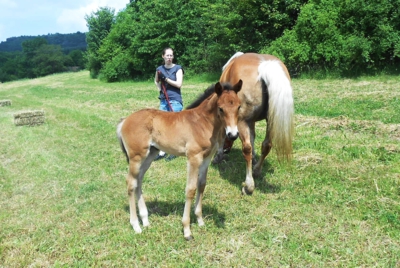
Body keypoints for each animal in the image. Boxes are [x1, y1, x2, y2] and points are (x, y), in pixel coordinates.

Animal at [115, 80, 241, 241]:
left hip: (150, 155)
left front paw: (200, 220)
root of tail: (124, 120)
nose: (233, 134)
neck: (202, 122)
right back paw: (136, 225)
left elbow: (201, 185)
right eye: (221, 108)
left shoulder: (206, 158)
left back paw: (145, 220)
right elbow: (190, 189)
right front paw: (187, 230)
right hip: (136, 157)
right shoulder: (193, 158)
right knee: (131, 183)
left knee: (139, 180)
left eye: (239, 106)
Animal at [216, 52, 294, 195]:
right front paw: (254, 159)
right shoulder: (250, 121)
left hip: (242, 121)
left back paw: (249, 185)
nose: (226, 150)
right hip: (270, 119)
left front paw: (218, 156)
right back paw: (256, 171)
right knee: (267, 145)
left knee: (246, 148)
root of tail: (265, 65)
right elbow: (253, 138)